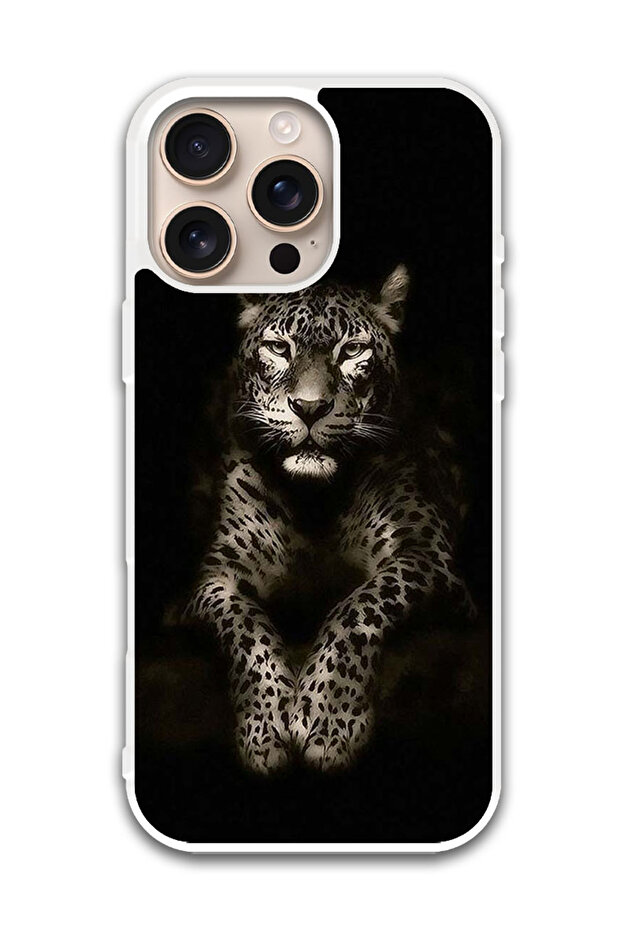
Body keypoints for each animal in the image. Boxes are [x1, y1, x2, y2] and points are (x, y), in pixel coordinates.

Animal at [186, 265, 474, 774]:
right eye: (280, 348)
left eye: (352, 350)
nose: (310, 407)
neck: (314, 501)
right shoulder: (216, 577)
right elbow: (245, 627)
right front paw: (265, 727)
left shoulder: (427, 554)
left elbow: (359, 606)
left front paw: (328, 719)